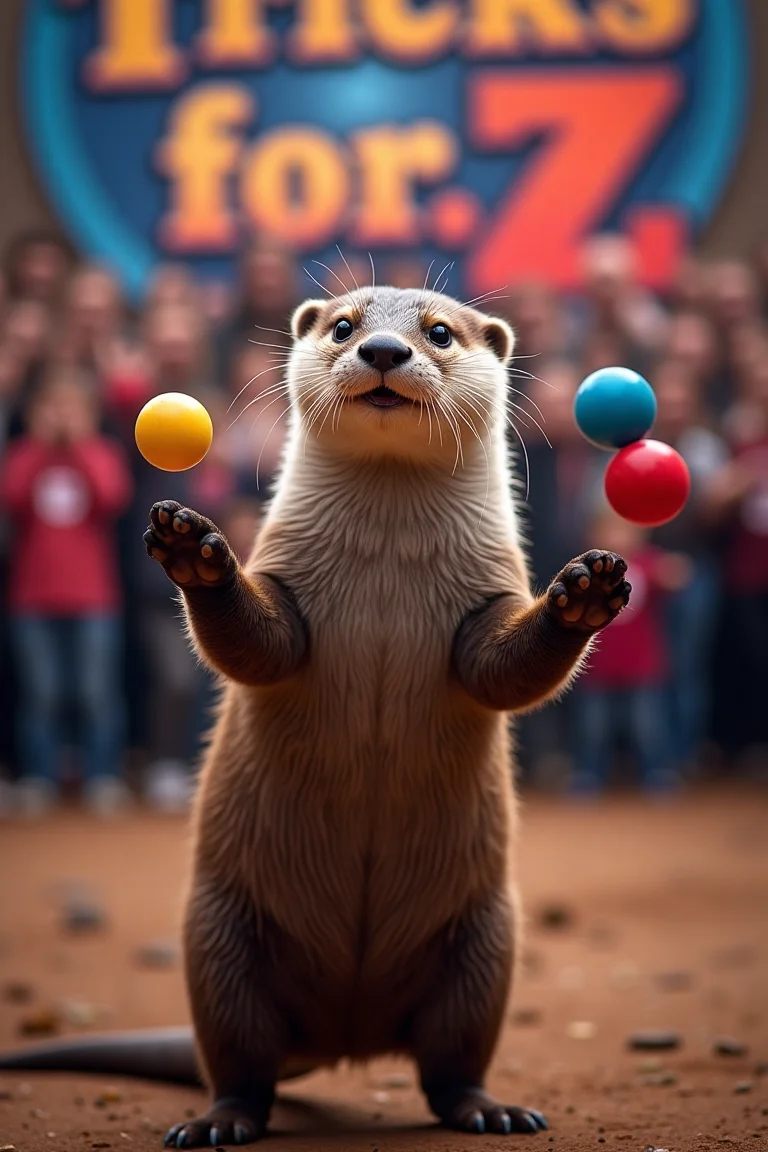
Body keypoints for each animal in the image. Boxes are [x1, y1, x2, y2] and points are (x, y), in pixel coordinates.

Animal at [0, 287, 630, 1145]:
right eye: (343, 326)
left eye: (439, 331)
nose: (385, 351)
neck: (386, 564)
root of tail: (345, 1036)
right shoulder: (287, 590)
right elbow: (257, 647)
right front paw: (196, 552)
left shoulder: (489, 599)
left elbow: (504, 670)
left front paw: (584, 595)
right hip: (218, 938)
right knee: (241, 1062)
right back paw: (220, 1120)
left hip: (487, 940)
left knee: (451, 1062)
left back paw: (490, 1108)